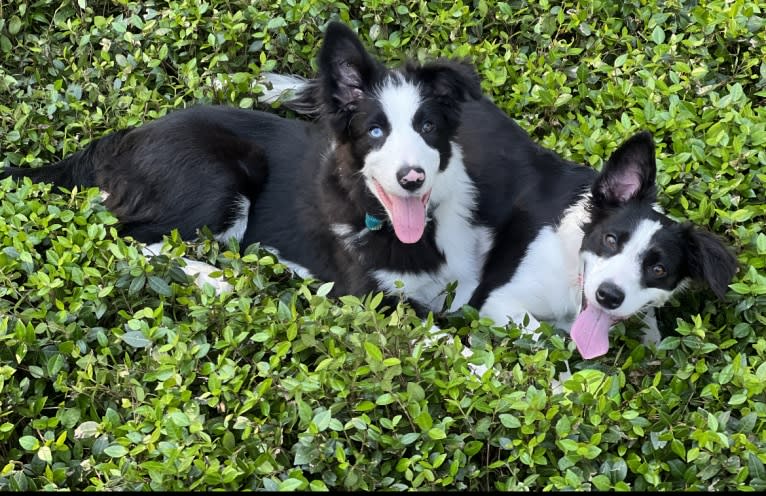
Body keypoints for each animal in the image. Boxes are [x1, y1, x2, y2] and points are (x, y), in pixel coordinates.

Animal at [3, 22, 488, 314]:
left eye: (427, 127)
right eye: (374, 131)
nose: (412, 179)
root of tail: (122, 138)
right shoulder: (368, 299)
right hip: (221, 181)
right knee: (129, 236)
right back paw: (212, 278)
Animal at [262, 70, 736, 358]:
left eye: (658, 269)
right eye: (610, 240)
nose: (608, 296)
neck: (571, 265)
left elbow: (650, 327)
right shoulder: (498, 301)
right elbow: (539, 337)